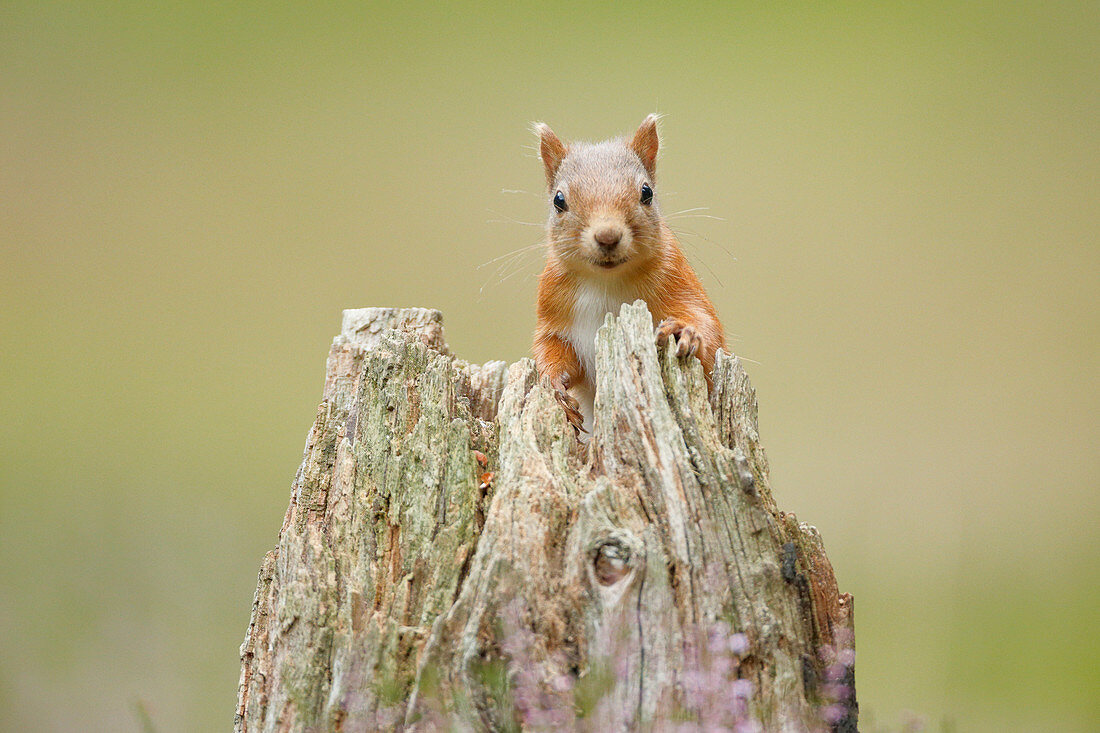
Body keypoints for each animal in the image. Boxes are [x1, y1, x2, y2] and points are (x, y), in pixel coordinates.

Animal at [530, 115, 726, 433]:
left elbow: (709, 334)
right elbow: (551, 348)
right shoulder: (553, 307)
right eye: (559, 200)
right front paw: (555, 385)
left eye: (647, 192)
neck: (606, 281)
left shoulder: (678, 278)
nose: (607, 236)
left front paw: (682, 329)